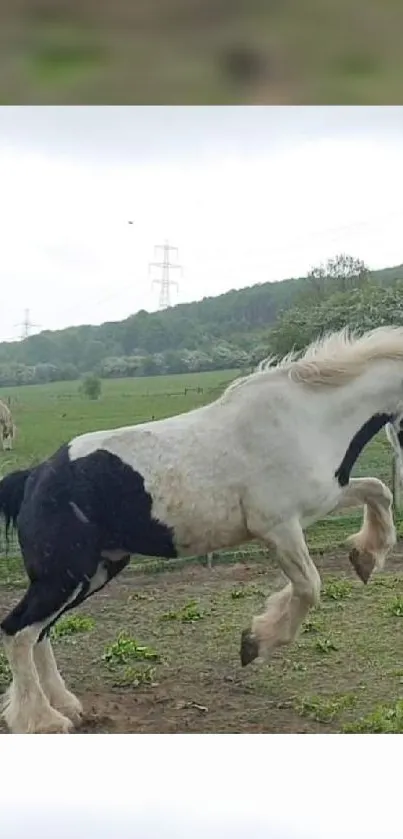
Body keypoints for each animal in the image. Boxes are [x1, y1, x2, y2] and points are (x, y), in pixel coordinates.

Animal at [0, 324, 402, 732]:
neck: (309, 419)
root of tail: (32, 477)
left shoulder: (322, 501)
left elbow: (378, 491)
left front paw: (366, 558)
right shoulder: (278, 527)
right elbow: (309, 587)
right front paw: (254, 643)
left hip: (93, 572)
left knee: (40, 632)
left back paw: (66, 706)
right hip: (62, 577)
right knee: (18, 631)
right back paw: (42, 720)